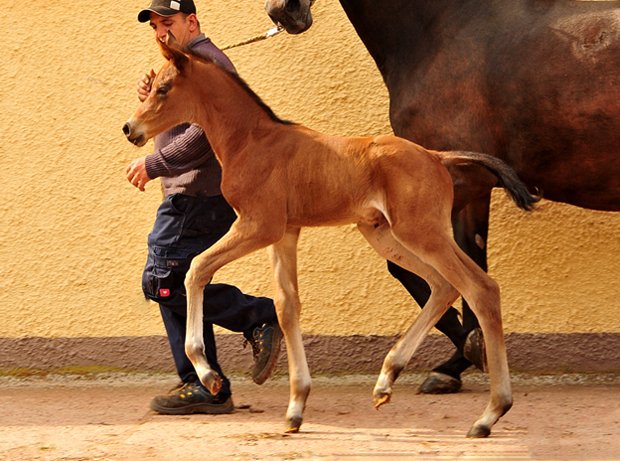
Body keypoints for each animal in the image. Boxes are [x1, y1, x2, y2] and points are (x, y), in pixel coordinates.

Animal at [122, 33, 536, 438]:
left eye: (163, 88)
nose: (130, 129)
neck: (251, 141)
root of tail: (437, 157)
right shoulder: (285, 232)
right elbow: (287, 306)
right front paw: (296, 407)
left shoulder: (258, 225)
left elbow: (196, 268)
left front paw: (208, 374)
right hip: (384, 234)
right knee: (443, 285)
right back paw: (386, 381)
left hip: (421, 230)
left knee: (480, 288)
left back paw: (490, 414)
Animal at [266, 0, 620, 388]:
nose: (282, 12)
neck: (444, 29)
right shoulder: (469, 184)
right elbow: (471, 259)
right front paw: (463, 358)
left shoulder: (458, 181)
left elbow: (410, 267)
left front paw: (469, 349)